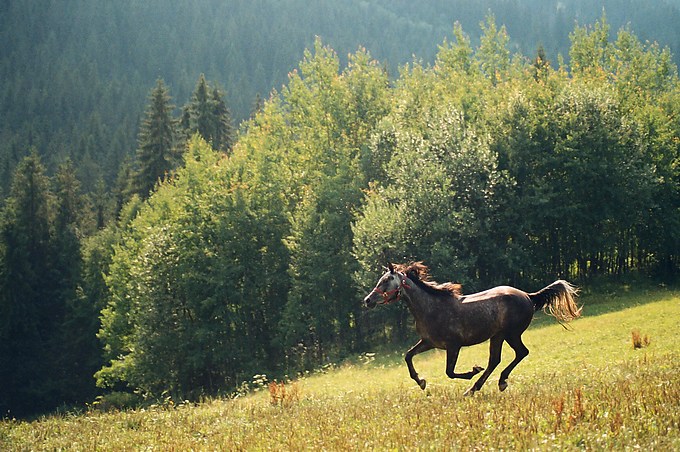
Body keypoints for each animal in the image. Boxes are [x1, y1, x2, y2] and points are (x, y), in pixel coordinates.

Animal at [362, 262, 580, 396]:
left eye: (386, 281)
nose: (368, 300)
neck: (431, 308)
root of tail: (528, 296)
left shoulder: (453, 345)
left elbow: (449, 372)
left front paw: (472, 371)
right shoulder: (429, 342)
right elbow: (408, 356)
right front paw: (421, 381)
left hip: (511, 334)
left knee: (520, 353)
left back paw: (496, 382)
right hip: (498, 336)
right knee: (495, 360)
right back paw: (477, 388)